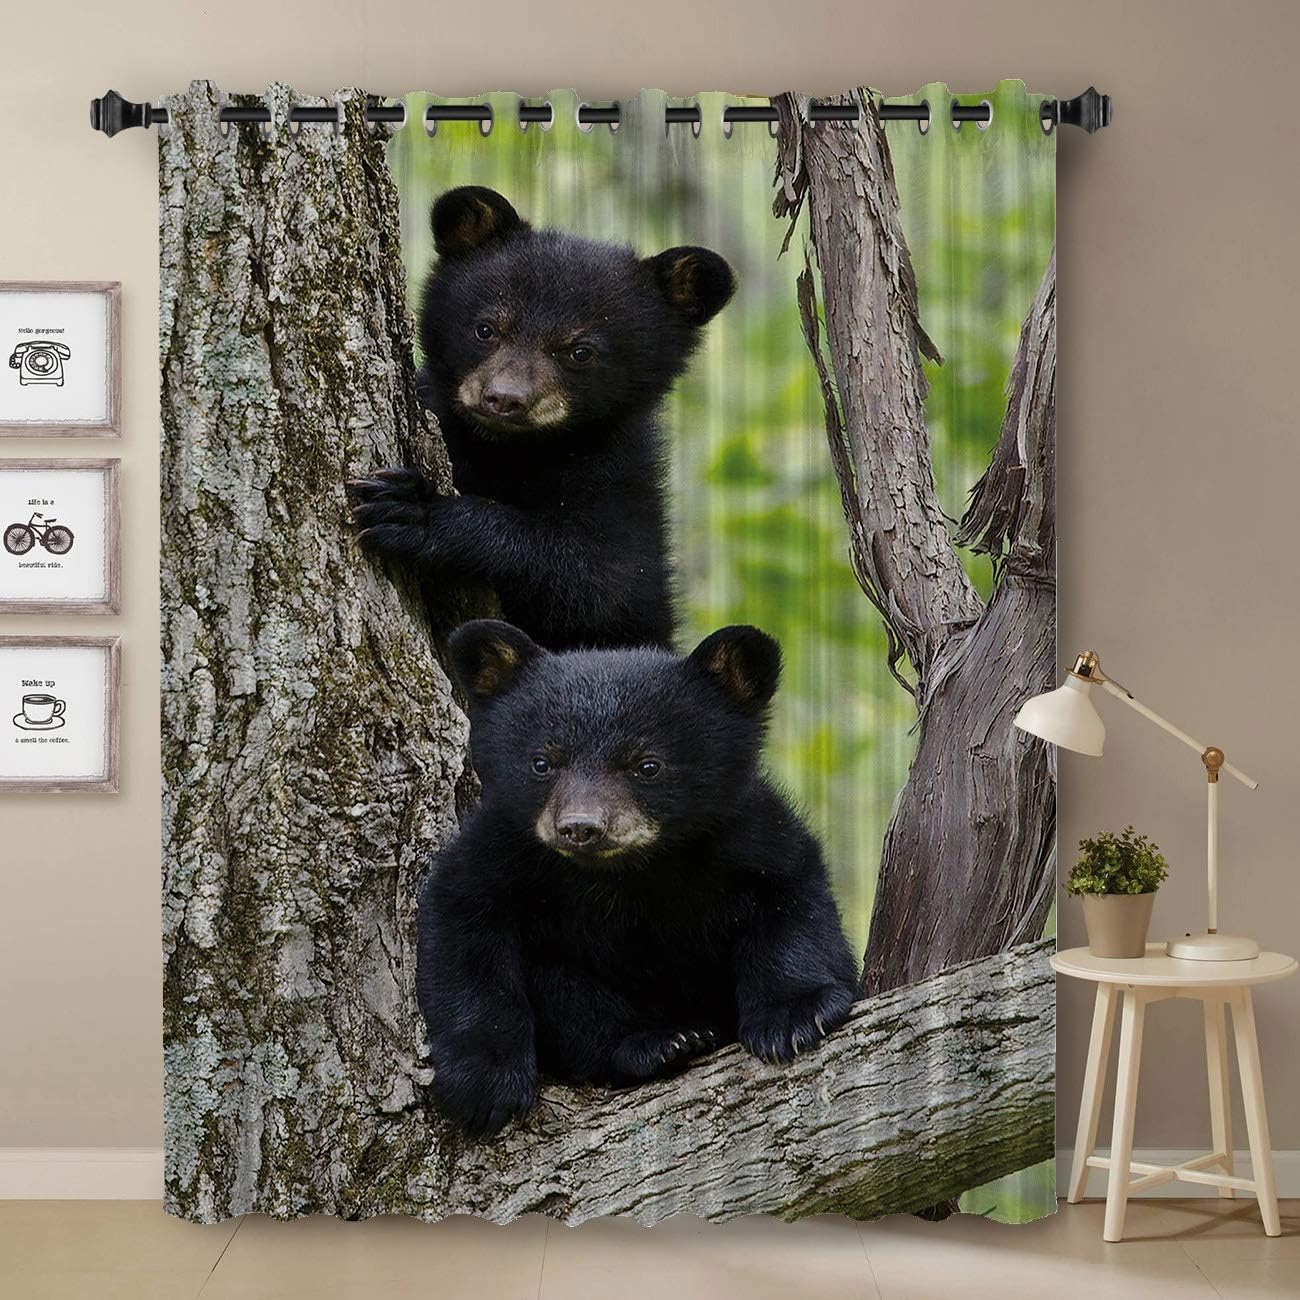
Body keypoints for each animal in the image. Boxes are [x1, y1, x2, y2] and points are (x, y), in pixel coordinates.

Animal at [349, 186, 735, 651]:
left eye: (580, 351)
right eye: (486, 329)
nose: (503, 399)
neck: (508, 449)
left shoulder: (622, 482)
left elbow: (597, 579)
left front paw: (414, 510)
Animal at [416, 618, 859, 1137]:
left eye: (647, 765)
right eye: (542, 762)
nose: (581, 827)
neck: (626, 874)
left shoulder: (748, 836)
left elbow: (793, 898)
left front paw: (794, 1018)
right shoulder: (504, 852)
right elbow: (463, 926)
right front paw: (484, 1085)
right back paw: (658, 1043)